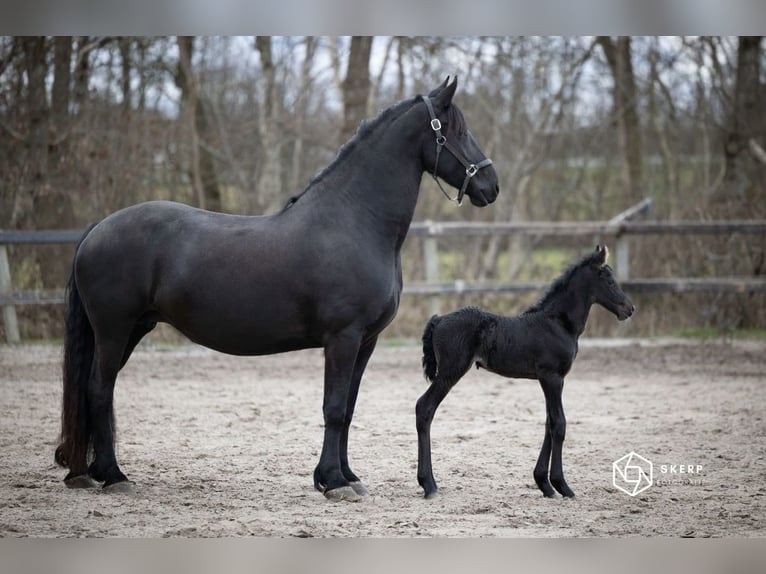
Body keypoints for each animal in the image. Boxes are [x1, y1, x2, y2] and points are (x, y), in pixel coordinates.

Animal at [54, 77, 499, 502]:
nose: (491, 185)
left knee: (96, 391)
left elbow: (349, 409)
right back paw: (114, 476)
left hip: (131, 329)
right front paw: (333, 482)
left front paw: (347, 477)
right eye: (456, 130)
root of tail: (98, 228)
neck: (355, 222)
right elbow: (334, 408)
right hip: (114, 330)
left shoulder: (366, 342)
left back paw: (89, 473)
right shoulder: (343, 338)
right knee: (99, 390)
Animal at [416, 245, 635, 499]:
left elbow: (549, 423)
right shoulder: (552, 376)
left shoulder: (551, 379)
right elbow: (559, 424)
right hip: (450, 372)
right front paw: (562, 486)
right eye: (608, 280)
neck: (557, 323)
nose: (629, 309)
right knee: (424, 407)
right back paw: (429, 484)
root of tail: (438, 320)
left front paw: (545, 485)